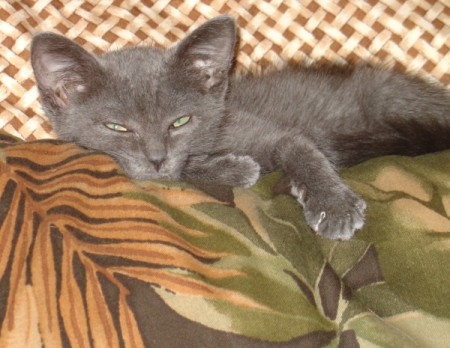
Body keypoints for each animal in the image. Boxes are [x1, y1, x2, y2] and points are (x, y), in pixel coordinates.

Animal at [29, 15, 450, 239]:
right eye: (117, 127)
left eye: (180, 121)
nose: (156, 159)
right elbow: (192, 169)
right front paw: (234, 167)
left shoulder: (265, 129)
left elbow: (300, 147)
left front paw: (332, 204)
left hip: (385, 94)